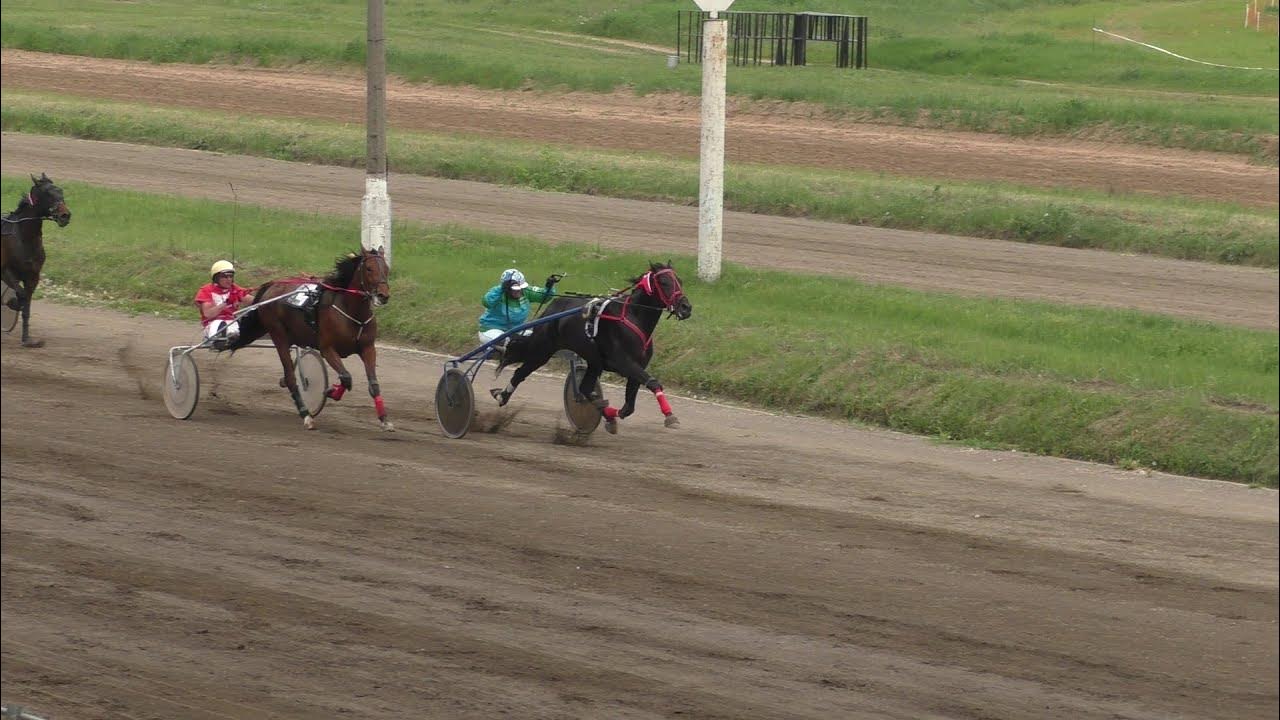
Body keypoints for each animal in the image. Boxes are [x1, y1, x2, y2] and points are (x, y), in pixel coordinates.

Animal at [0, 170, 72, 345]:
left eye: (61, 191)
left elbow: (26, 306)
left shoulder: (33, 276)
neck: (24, 237)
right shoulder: (6, 271)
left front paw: (27, 340)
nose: (65, 215)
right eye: (48, 194)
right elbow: (21, 296)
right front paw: (12, 302)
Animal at [230, 245, 389, 427]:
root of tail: (272, 285)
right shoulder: (327, 348)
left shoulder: (368, 348)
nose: (383, 295)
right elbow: (346, 377)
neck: (351, 312)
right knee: (291, 378)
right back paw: (305, 413)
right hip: (278, 335)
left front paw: (385, 419)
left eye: (387, 268)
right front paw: (330, 391)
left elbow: (373, 384)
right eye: (369, 268)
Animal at [486, 262, 691, 430]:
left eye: (679, 280)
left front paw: (610, 416)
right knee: (520, 373)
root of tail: (552, 307)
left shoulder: (637, 366)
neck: (633, 317)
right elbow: (653, 383)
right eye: (664, 282)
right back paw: (502, 396)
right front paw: (670, 416)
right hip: (542, 350)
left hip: (594, 362)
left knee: (584, 388)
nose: (686, 307)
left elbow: (628, 408)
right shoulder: (623, 362)